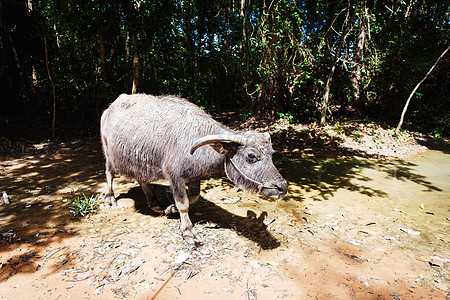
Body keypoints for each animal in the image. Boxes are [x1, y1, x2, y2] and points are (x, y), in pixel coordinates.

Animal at [100, 94, 286, 244]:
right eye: (251, 155)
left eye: (271, 153)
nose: (282, 187)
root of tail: (110, 107)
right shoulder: (174, 177)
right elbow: (183, 203)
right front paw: (188, 232)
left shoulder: (195, 177)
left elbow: (194, 197)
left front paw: (170, 208)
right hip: (108, 153)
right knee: (109, 173)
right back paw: (110, 198)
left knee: (142, 179)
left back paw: (154, 203)